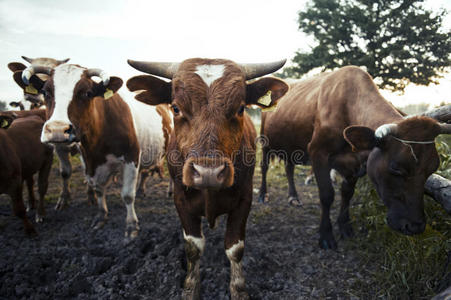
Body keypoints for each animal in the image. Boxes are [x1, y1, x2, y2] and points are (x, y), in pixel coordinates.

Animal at [18, 63, 171, 241]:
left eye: (87, 93)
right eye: (45, 92)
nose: (57, 130)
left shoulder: (131, 157)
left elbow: (127, 195)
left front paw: (132, 226)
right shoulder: (89, 161)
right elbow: (98, 189)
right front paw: (101, 217)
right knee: (145, 173)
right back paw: (141, 190)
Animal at [127, 58, 290, 300]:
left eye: (240, 108)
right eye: (176, 108)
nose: (208, 172)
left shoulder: (244, 199)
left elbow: (235, 248)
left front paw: (238, 290)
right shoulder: (181, 200)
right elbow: (193, 247)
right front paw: (190, 288)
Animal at [258, 66, 451, 251]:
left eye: (433, 168)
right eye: (396, 168)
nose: (415, 226)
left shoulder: (356, 163)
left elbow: (347, 193)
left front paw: (345, 227)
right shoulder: (318, 153)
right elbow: (327, 195)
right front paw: (326, 236)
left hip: (291, 144)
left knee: (289, 168)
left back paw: (293, 197)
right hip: (265, 141)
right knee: (264, 167)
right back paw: (262, 195)